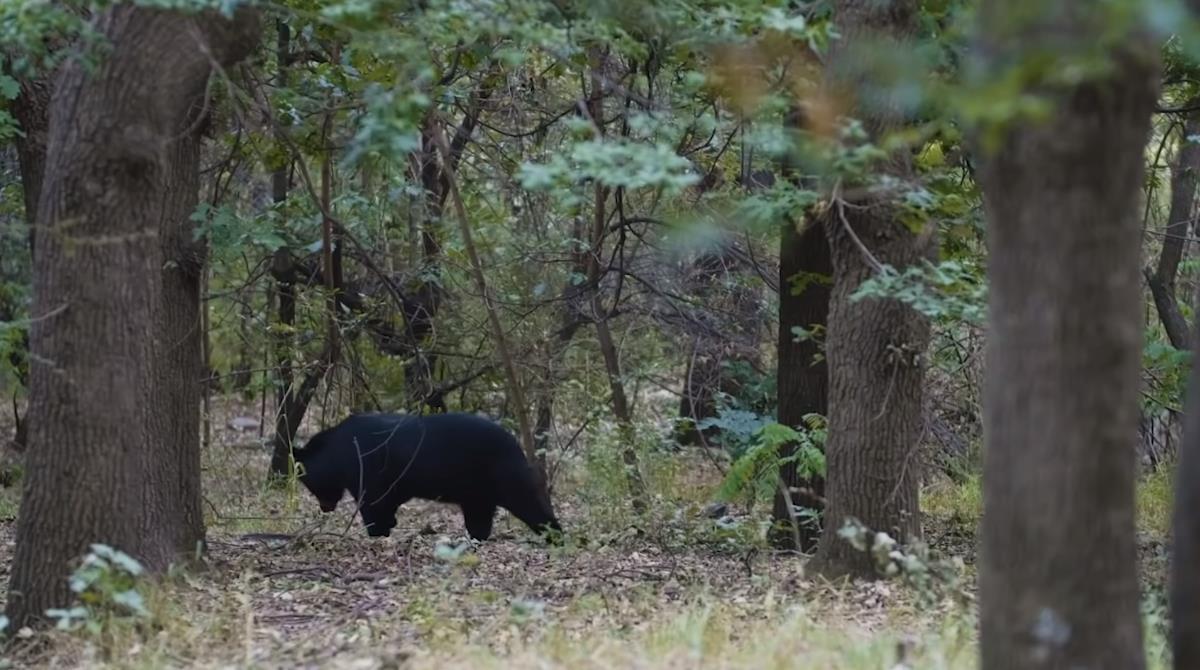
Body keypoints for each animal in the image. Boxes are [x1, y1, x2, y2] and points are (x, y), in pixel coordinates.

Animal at [297, 413, 564, 542]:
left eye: (308, 483)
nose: (325, 508)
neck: (337, 452)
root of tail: (515, 444)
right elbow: (389, 499)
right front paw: (389, 523)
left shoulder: (366, 465)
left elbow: (373, 501)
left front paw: (378, 531)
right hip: (477, 490)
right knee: (479, 516)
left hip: (501, 474)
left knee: (528, 503)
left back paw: (554, 535)